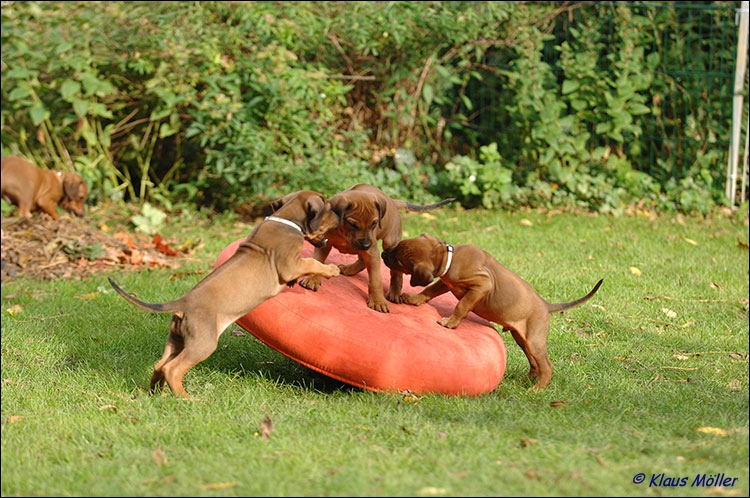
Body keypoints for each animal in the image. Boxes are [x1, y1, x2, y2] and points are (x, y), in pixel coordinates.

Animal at [108, 190, 342, 398]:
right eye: (328, 208)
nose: (340, 216)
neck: (287, 219)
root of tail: (182, 303)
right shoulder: (290, 263)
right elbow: (312, 262)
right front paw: (332, 269)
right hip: (202, 344)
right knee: (172, 369)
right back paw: (186, 398)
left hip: (176, 340)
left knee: (159, 365)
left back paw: (157, 393)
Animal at [298, 184, 454, 313]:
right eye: (353, 224)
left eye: (374, 224)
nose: (366, 244)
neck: (343, 234)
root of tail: (391, 201)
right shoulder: (326, 242)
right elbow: (319, 261)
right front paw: (313, 279)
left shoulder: (372, 251)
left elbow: (375, 280)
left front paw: (378, 301)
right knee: (362, 259)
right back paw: (350, 269)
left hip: (390, 243)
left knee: (396, 272)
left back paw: (394, 292)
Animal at [382, 233, 603, 390]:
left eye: (397, 260)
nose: (383, 254)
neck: (449, 258)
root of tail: (546, 304)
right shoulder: (446, 282)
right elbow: (429, 290)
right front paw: (414, 299)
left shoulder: (481, 285)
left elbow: (462, 305)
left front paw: (450, 323)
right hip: (521, 339)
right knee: (534, 363)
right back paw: (526, 380)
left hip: (534, 339)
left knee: (547, 366)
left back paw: (537, 389)